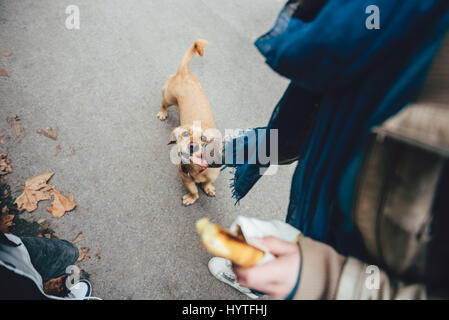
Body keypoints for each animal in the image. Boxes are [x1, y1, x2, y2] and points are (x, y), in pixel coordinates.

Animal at [158, 40, 220, 206]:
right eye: (185, 134)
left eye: (204, 139)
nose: (193, 146)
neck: (196, 168)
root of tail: (184, 73)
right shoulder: (183, 176)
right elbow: (193, 189)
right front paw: (192, 197)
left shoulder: (214, 174)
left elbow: (207, 182)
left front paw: (208, 188)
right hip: (169, 97)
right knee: (163, 103)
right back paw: (162, 112)